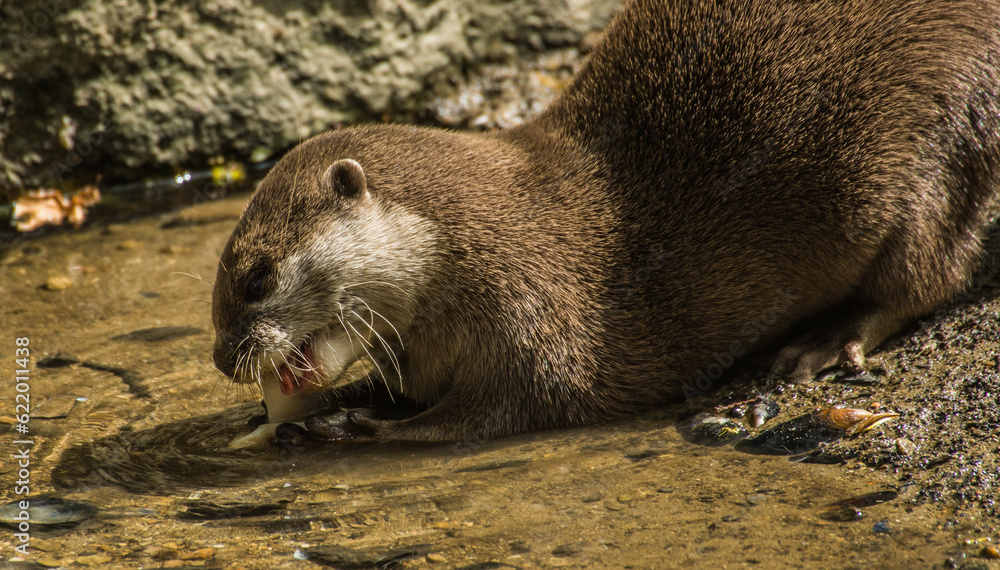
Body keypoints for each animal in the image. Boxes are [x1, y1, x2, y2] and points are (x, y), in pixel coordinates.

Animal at [211, 0, 1000, 441]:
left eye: (256, 279)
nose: (222, 360)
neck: (470, 242)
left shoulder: (537, 319)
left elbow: (497, 412)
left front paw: (355, 422)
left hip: (941, 136)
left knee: (928, 272)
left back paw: (826, 342)